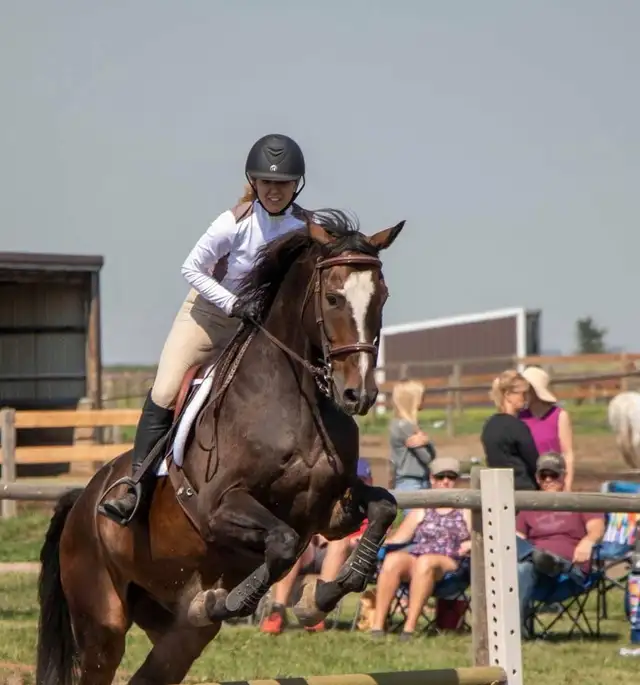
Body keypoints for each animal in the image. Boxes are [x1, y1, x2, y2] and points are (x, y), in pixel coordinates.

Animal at [35, 208, 405, 685]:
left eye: (382, 296)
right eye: (334, 298)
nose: (358, 395)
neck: (296, 402)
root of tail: (81, 503)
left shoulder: (330, 510)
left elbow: (383, 508)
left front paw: (315, 600)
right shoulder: (216, 508)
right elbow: (282, 542)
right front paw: (228, 601)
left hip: (175, 634)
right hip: (102, 623)